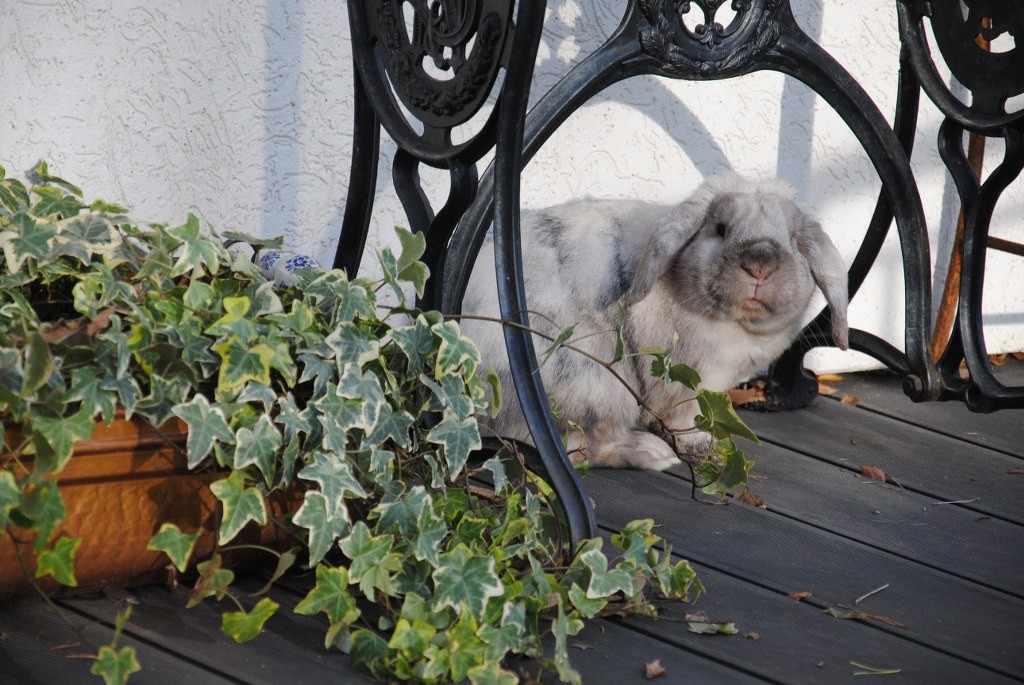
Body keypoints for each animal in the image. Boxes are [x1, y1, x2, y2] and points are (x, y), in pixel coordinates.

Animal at [462, 174, 847, 471]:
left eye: (793, 240)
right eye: (720, 229)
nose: (759, 265)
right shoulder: (689, 382)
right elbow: (685, 418)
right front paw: (697, 443)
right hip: (599, 390)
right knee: (576, 450)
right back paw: (651, 454)